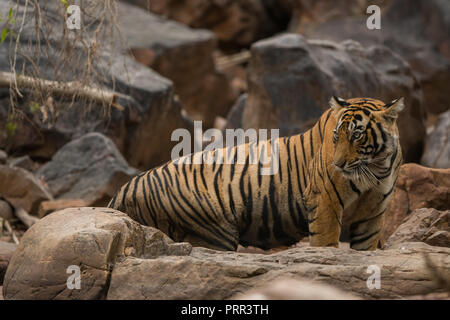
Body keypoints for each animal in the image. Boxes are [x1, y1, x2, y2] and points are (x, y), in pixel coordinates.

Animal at [109, 96, 404, 251]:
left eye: (357, 135)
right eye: (336, 136)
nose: (339, 165)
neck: (376, 168)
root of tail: (122, 190)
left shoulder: (373, 213)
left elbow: (366, 248)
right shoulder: (325, 202)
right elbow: (326, 242)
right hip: (214, 230)